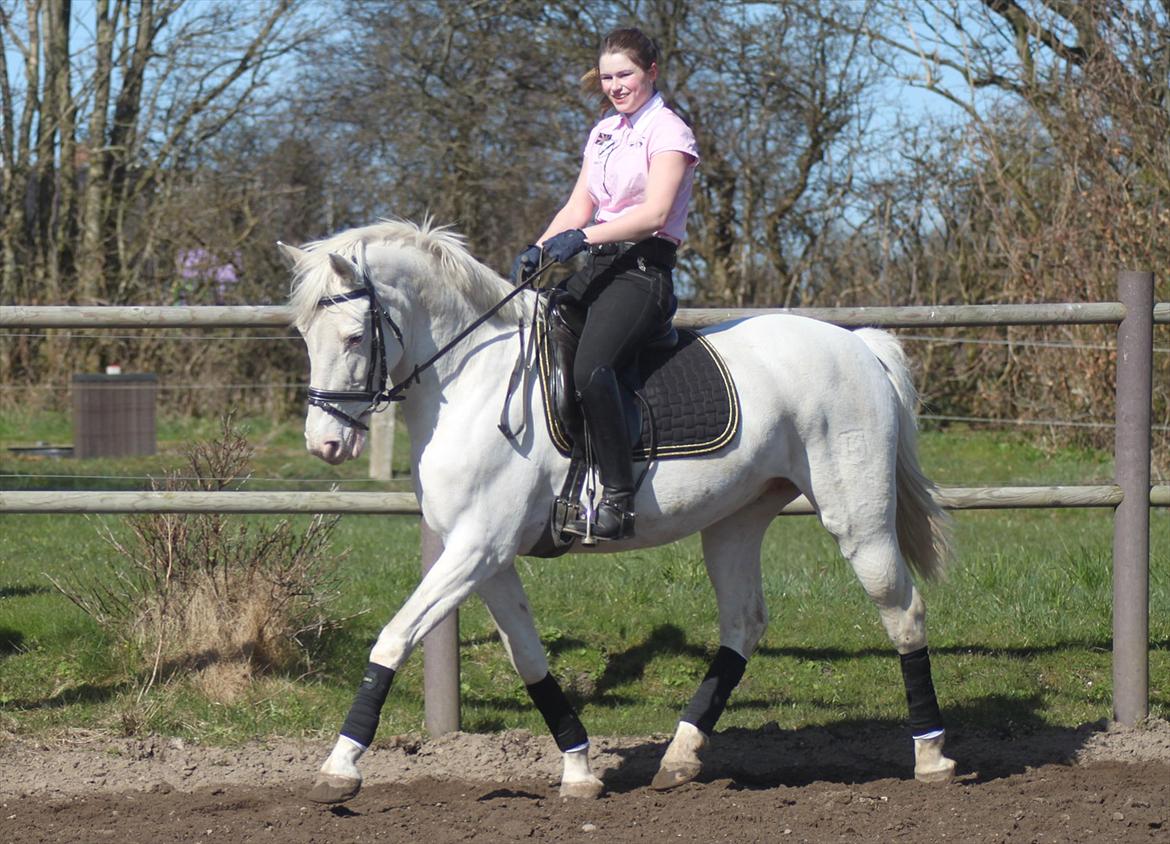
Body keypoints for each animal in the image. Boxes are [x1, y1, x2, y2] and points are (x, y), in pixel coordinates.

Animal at [283, 217, 959, 805]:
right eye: (304, 338)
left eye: (353, 337)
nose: (325, 444)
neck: (472, 380)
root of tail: (857, 345)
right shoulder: (485, 556)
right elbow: (528, 658)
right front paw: (579, 770)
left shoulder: (478, 547)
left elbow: (394, 637)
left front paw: (339, 768)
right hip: (734, 522)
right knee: (744, 623)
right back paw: (680, 757)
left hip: (857, 518)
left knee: (903, 611)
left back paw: (932, 757)